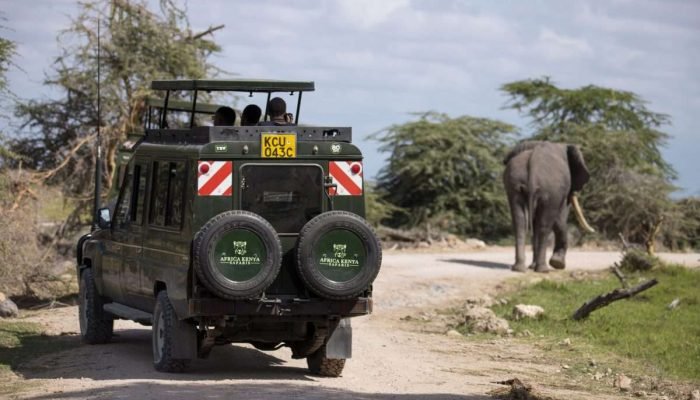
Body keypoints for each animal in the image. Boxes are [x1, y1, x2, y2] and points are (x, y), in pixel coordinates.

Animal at [503, 141, 595, 273]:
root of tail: (533, 160)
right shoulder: (561, 191)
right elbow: (559, 218)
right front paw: (558, 264)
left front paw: (532, 266)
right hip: (551, 188)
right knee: (545, 224)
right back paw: (543, 269)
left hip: (514, 182)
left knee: (519, 222)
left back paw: (519, 268)